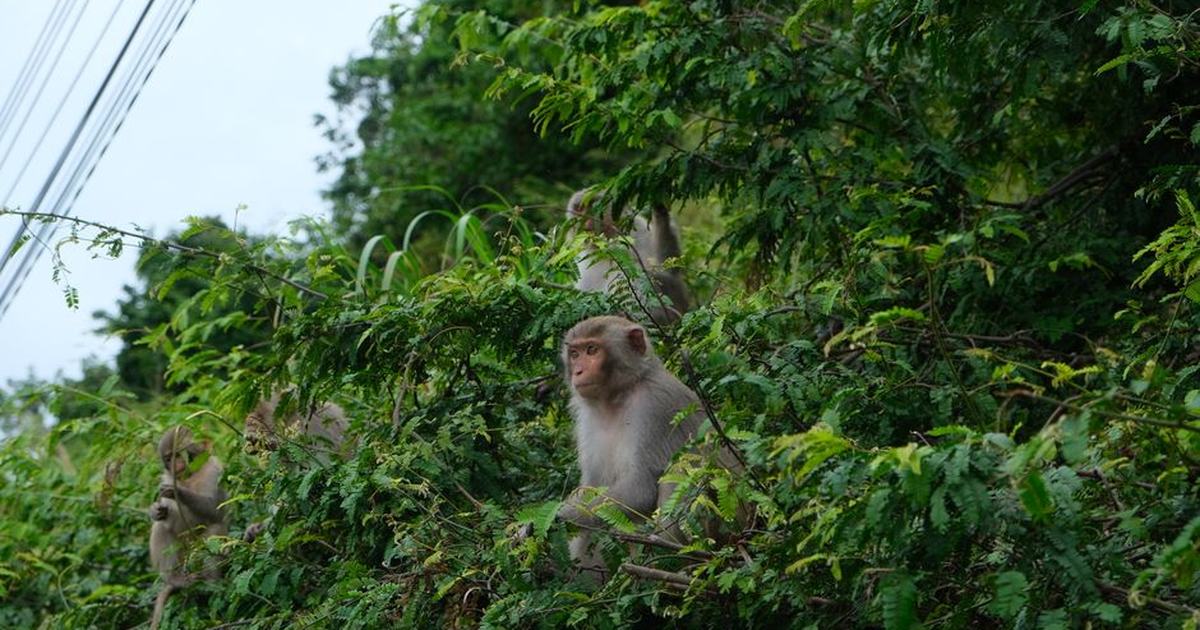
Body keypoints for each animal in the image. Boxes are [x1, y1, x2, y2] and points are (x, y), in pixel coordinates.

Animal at [148, 426, 228, 629]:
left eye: (178, 454)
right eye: (168, 458)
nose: (174, 464)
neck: (189, 475)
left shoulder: (214, 470)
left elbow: (216, 510)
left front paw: (178, 492)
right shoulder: (166, 476)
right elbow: (163, 514)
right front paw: (154, 510)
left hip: (196, 554)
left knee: (214, 530)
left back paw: (212, 583)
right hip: (182, 556)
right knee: (161, 527)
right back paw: (175, 580)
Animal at [566, 188, 692, 326]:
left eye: (593, 207)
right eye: (579, 209)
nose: (583, 219)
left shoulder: (636, 229)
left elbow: (667, 271)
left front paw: (659, 209)